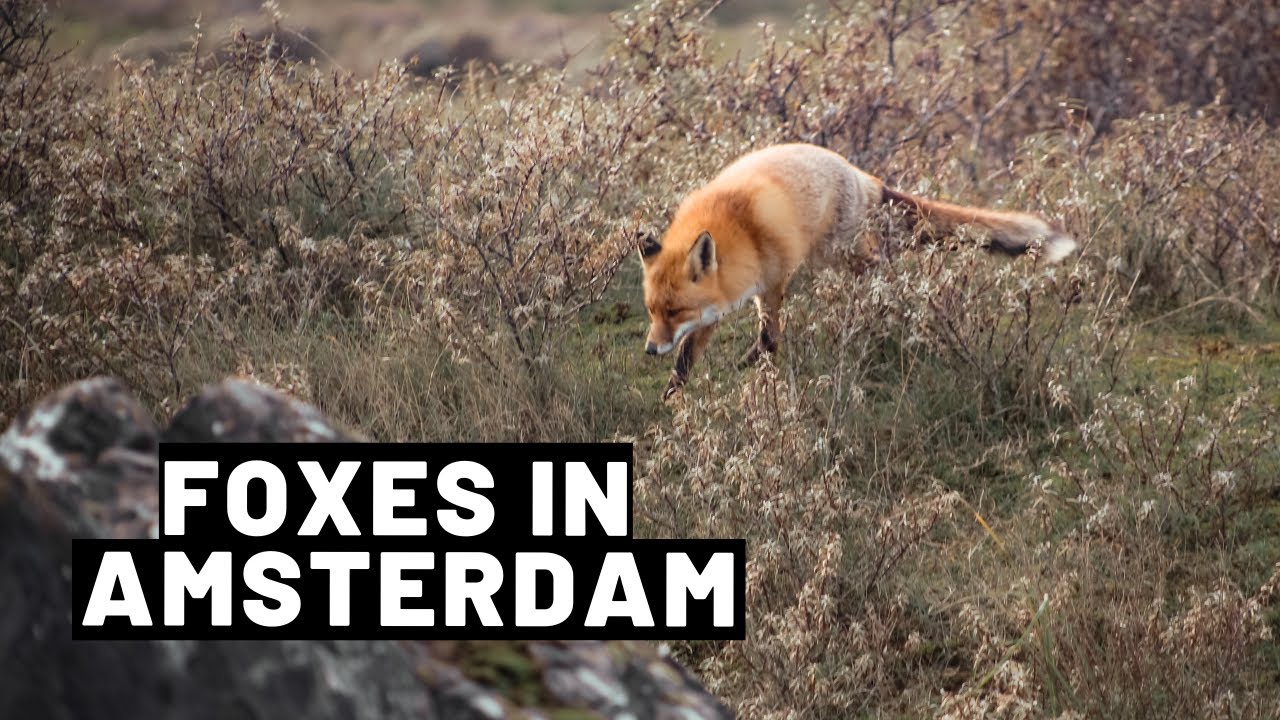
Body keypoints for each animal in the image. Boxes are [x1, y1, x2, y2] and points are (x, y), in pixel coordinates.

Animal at [637, 142, 1077, 400]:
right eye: (653, 311)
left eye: (673, 311)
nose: (649, 350)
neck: (736, 227)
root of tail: (863, 175)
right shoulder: (715, 304)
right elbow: (686, 355)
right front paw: (673, 395)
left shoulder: (773, 279)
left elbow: (770, 338)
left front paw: (747, 366)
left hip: (844, 255)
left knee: (882, 270)